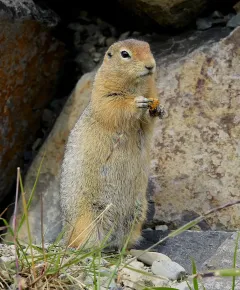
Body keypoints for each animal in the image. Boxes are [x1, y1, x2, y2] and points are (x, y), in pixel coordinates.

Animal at [60, 38, 165, 251]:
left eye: (149, 48)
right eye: (125, 54)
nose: (151, 66)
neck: (135, 86)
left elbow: (148, 121)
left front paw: (158, 108)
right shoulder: (103, 93)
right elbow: (113, 107)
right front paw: (137, 103)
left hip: (138, 211)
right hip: (89, 217)